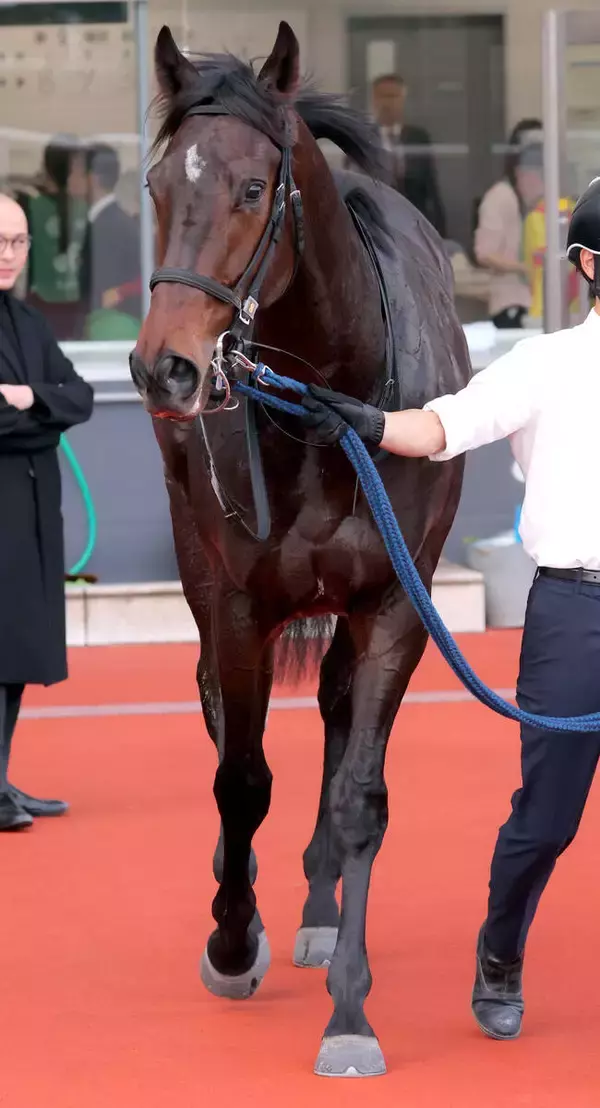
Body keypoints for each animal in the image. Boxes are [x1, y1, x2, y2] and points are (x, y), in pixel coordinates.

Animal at [130, 21, 470, 1077]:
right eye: (157, 187)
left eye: (251, 189)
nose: (161, 366)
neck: (330, 410)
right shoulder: (236, 598)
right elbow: (240, 779)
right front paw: (232, 941)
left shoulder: (398, 602)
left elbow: (361, 795)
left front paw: (351, 1012)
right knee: (218, 711)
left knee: (330, 710)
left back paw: (321, 906)